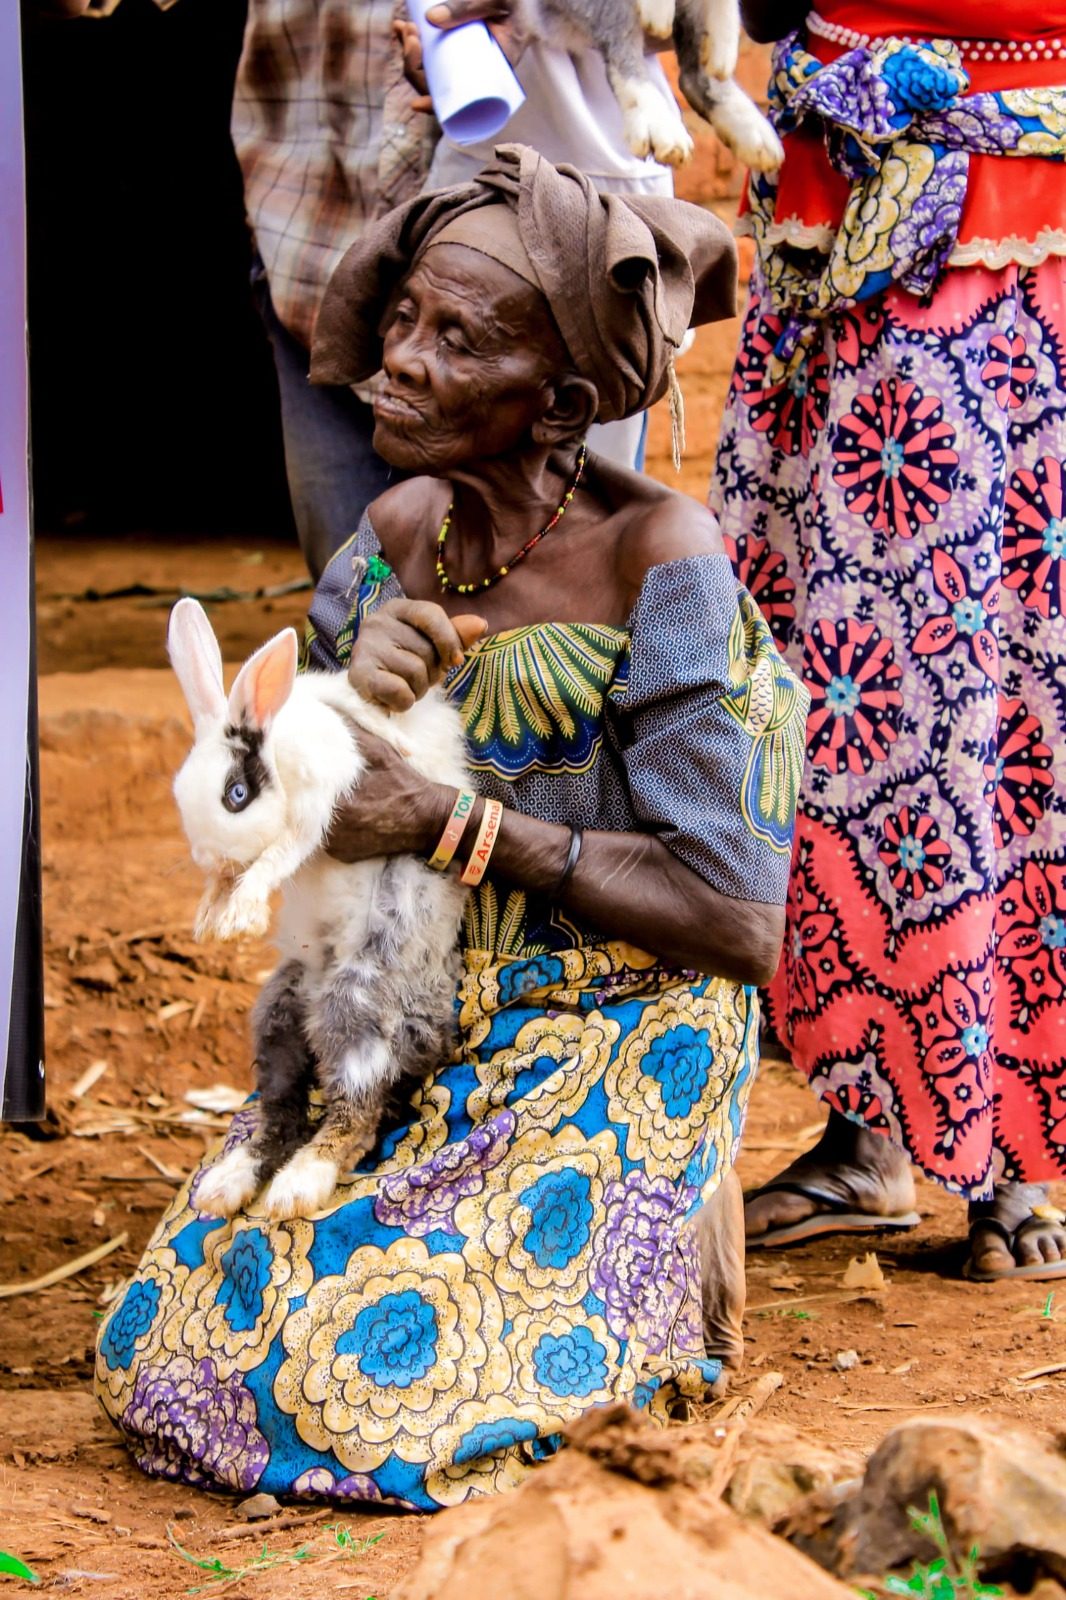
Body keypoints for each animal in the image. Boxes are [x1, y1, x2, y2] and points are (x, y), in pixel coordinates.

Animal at [166, 596, 470, 1221]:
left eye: (237, 794)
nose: (207, 853)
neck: (281, 742)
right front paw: (212, 913)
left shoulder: (318, 807)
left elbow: (277, 856)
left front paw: (240, 915)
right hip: (278, 1013)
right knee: (281, 1113)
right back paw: (226, 1185)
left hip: (355, 1007)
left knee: (355, 1115)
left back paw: (297, 1187)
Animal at [519, 0, 783, 170]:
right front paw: (658, 15)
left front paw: (724, 45)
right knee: (622, 42)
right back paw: (663, 130)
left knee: (694, 74)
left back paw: (756, 136)